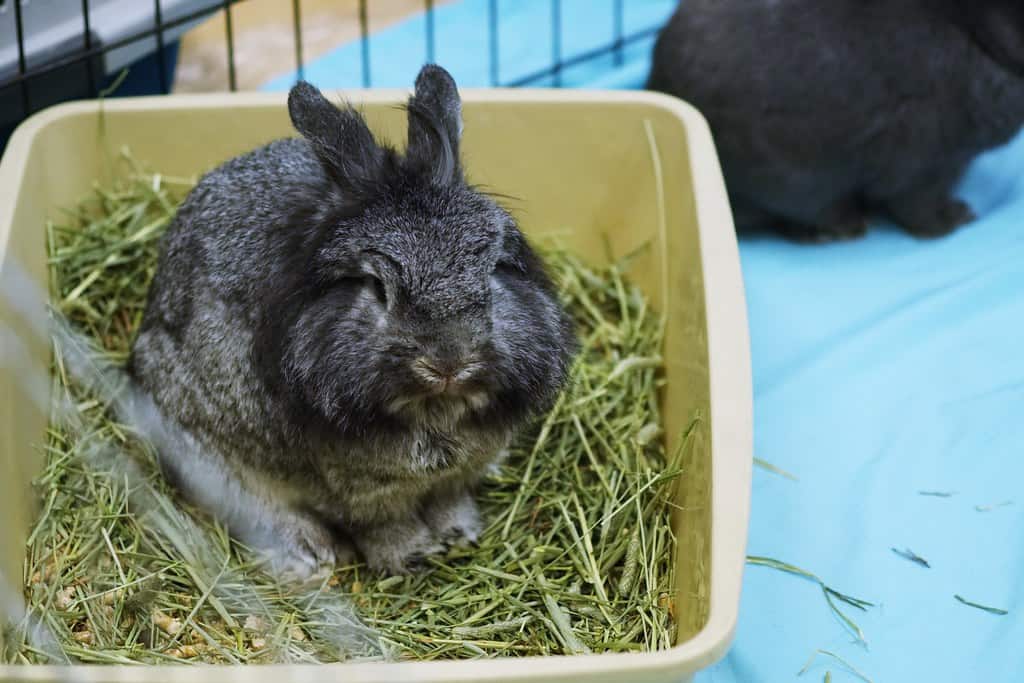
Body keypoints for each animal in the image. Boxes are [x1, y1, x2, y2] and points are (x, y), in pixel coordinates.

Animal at [128, 64, 577, 580]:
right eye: (377, 287)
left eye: (493, 268)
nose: (448, 361)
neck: (435, 409)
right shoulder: (362, 493)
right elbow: (383, 525)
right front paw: (408, 558)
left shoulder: (457, 475)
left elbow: (448, 501)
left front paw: (458, 535)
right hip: (204, 450)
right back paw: (308, 557)